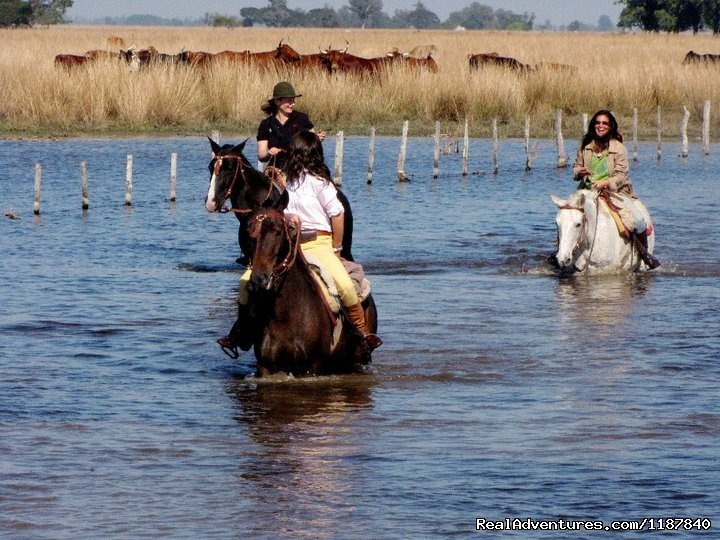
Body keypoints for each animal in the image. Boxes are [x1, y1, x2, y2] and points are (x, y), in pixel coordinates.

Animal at [245, 192, 380, 378]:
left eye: (278, 231)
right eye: (248, 231)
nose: (260, 279)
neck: (285, 314)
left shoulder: (313, 367)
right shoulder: (265, 366)